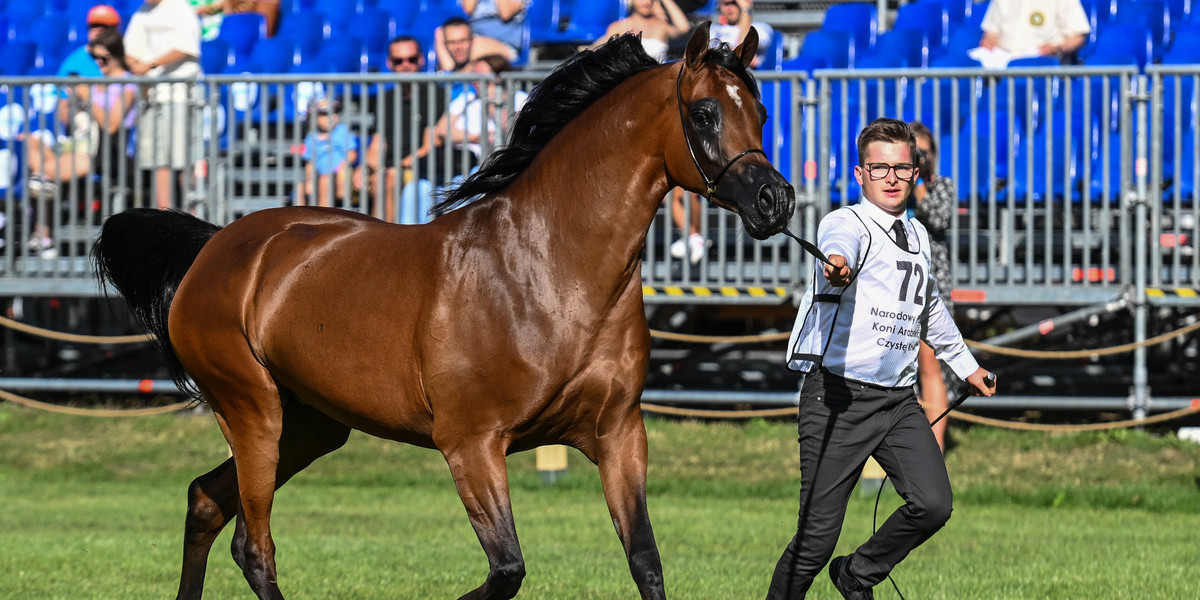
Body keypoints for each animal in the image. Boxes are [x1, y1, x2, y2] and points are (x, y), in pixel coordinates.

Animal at [91, 24, 787, 600]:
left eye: (759, 111)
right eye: (704, 112)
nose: (774, 200)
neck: (547, 271)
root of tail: (215, 247)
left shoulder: (619, 436)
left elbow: (645, 560)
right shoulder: (471, 446)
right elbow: (506, 570)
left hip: (311, 426)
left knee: (206, 502)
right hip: (253, 412)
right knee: (253, 546)